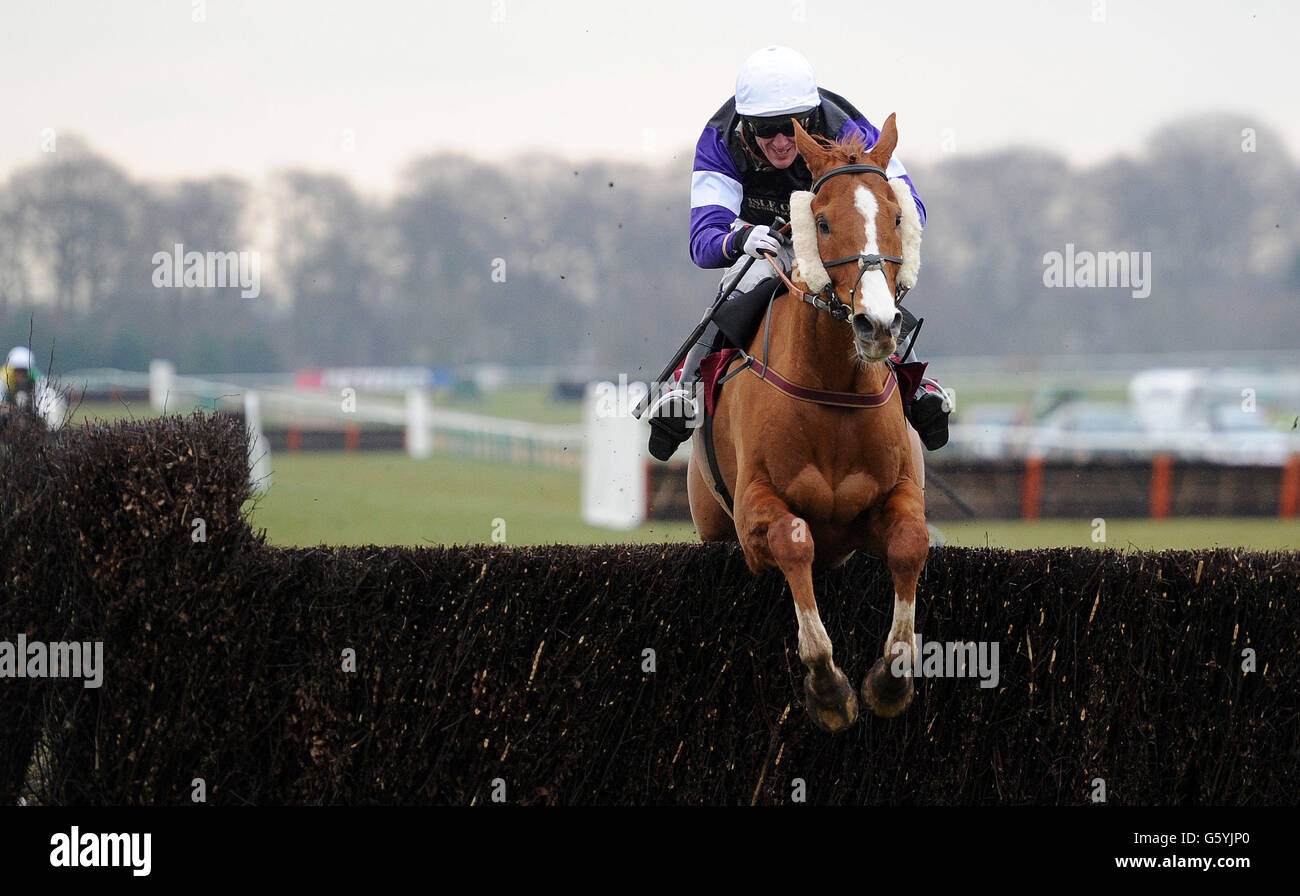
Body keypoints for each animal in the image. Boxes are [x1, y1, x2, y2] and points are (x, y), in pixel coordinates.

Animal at [691, 113, 925, 728]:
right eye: (820, 221)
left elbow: (910, 543)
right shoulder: (753, 513)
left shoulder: (892, 495)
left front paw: (891, 678)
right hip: (711, 521)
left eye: (896, 216)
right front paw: (827, 685)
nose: (877, 325)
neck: (834, 390)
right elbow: (794, 541)